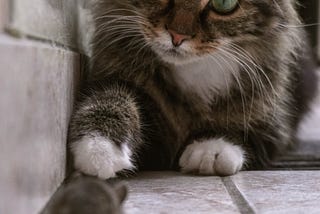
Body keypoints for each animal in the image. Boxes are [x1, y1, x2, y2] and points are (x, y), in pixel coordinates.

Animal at [68, 0, 318, 179]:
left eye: (224, 3)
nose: (177, 36)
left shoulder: (273, 118)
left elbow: (240, 122)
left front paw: (212, 148)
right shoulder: (117, 78)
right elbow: (111, 100)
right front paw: (99, 149)